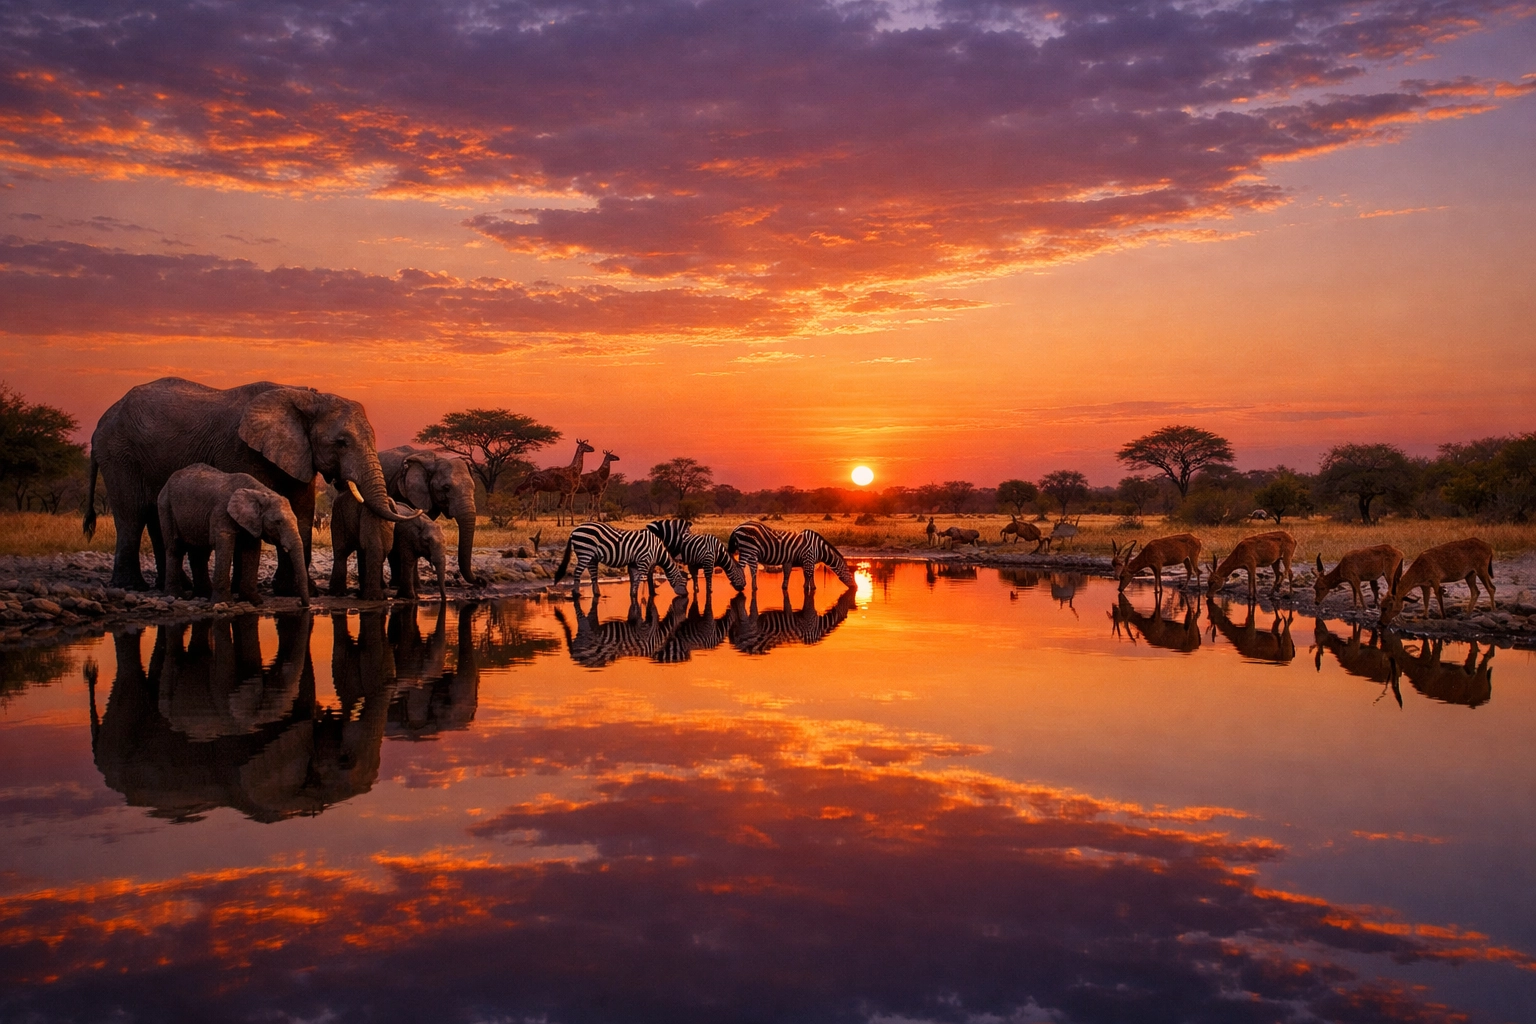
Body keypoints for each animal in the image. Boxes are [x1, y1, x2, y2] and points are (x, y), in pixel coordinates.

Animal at [157, 464, 309, 606]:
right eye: (278, 522)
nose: (302, 604)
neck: (259, 492)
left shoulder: (251, 522)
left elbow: (251, 549)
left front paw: (254, 601)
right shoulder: (221, 512)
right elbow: (225, 545)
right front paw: (223, 603)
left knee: (199, 552)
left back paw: (204, 595)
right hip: (166, 506)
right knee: (175, 549)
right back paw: (175, 596)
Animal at [554, 522, 690, 599]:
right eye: (684, 583)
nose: (686, 595)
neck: (657, 550)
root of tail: (574, 530)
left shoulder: (634, 563)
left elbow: (635, 579)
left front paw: (636, 594)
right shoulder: (644, 560)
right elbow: (642, 579)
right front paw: (642, 596)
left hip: (592, 557)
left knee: (593, 575)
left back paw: (597, 594)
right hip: (585, 553)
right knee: (577, 572)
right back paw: (577, 594)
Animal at [726, 521, 855, 592]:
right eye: (850, 573)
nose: (856, 587)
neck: (818, 548)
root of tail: (736, 528)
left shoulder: (803, 561)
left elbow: (806, 575)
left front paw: (811, 588)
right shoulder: (808, 557)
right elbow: (808, 575)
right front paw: (807, 589)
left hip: (751, 553)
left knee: (752, 570)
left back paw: (754, 588)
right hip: (747, 550)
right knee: (741, 567)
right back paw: (742, 587)